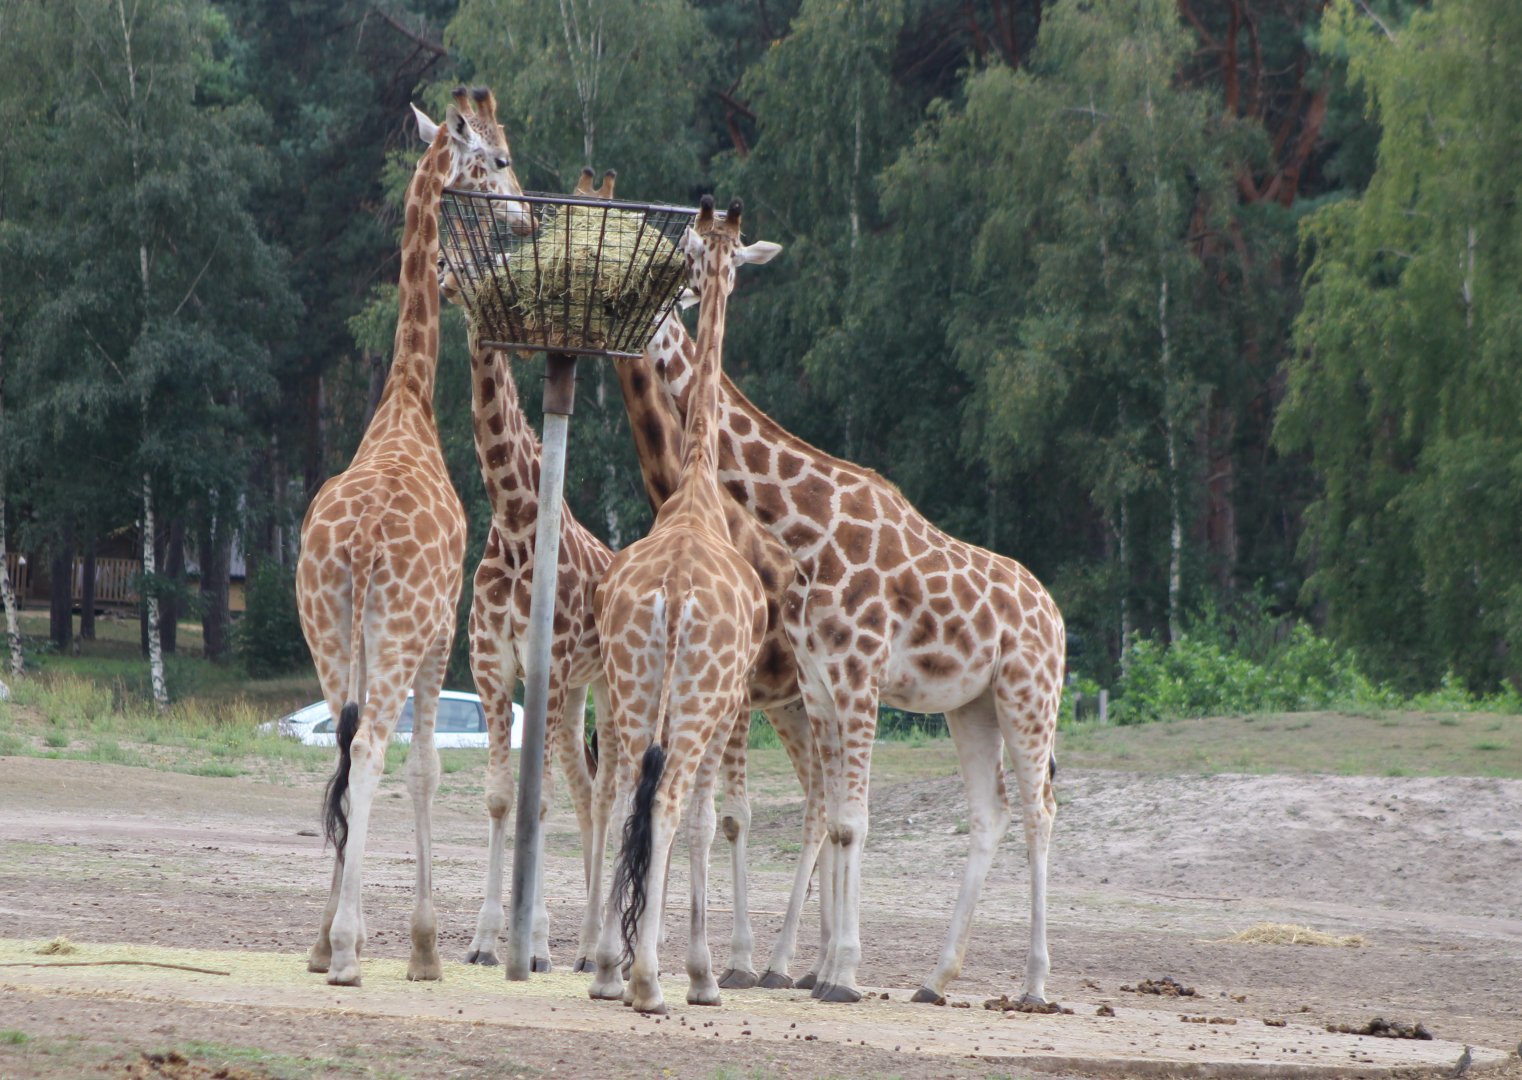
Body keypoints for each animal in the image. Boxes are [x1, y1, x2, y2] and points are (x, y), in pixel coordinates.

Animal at [296, 86, 527, 987]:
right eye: (498, 158)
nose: (525, 215)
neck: (406, 400)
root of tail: (361, 550)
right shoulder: (440, 632)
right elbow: (427, 769)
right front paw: (425, 947)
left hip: (328, 631)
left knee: (342, 749)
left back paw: (327, 944)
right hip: (393, 634)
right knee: (370, 756)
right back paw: (352, 952)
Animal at [643, 304, 1065, 1007]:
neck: (807, 530)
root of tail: (1056, 616)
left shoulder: (857, 677)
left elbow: (846, 820)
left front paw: (838, 973)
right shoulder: (819, 685)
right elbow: (836, 820)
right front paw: (826, 971)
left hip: (1029, 694)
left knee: (1039, 811)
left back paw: (1033, 985)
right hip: (970, 706)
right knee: (990, 813)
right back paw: (934, 979)